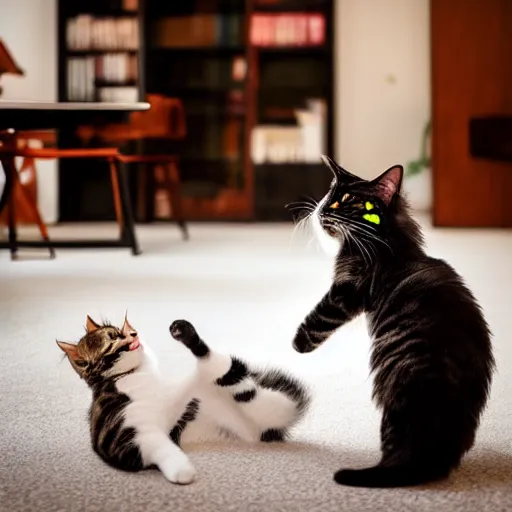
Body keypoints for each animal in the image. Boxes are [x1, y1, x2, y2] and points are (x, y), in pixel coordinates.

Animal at [58, 316, 310, 484]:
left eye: (122, 328)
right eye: (113, 336)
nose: (133, 333)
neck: (134, 375)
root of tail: (256, 431)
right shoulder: (124, 439)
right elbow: (160, 447)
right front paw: (182, 471)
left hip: (255, 396)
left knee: (214, 365)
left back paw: (185, 334)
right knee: (216, 369)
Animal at [292, 156, 496, 488]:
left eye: (345, 200)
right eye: (328, 195)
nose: (321, 209)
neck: (389, 239)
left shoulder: (346, 290)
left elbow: (319, 317)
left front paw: (298, 344)